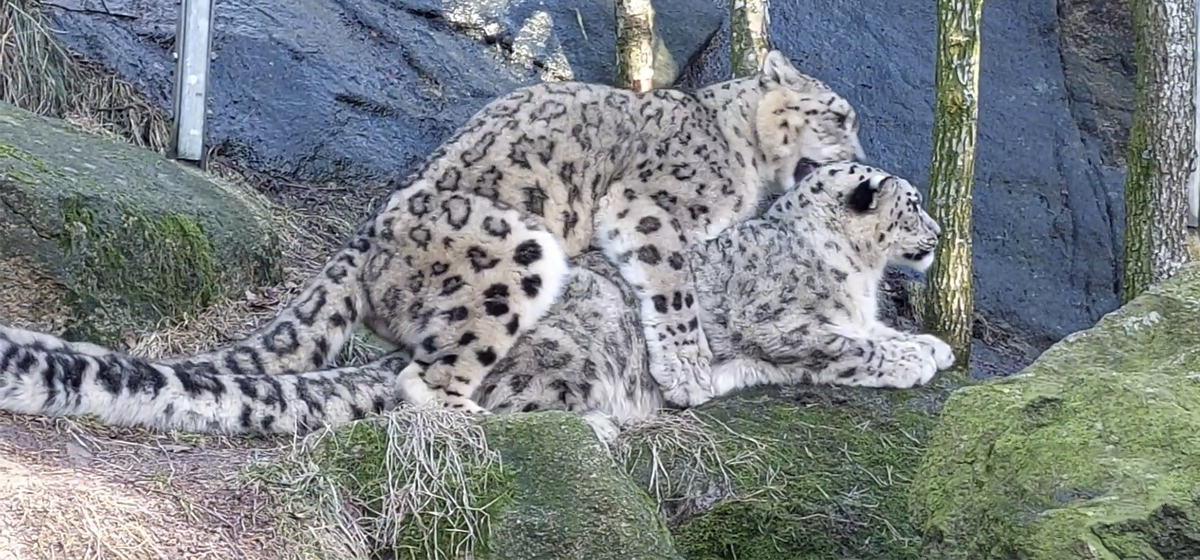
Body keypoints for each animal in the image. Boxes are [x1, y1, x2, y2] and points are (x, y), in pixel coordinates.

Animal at [0, 160, 954, 440]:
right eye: (913, 203)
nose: (941, 234)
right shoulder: (782, 316)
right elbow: (850, 341)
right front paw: (922, 351)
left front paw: (922, 344)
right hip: (559, 343)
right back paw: (594, 426)